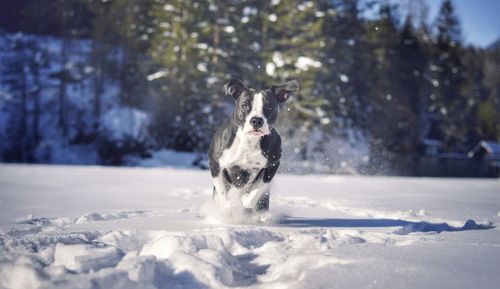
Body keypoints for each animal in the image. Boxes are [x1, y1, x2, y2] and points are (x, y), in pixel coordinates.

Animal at [208, 78, 300, 212]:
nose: (256, 120)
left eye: (269, 107)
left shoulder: (272, 164)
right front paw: (227, 209)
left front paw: (245, 199)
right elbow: (222, 194)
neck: (249, 141)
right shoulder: (215, 164)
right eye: (244, 105)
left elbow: (257, 191)